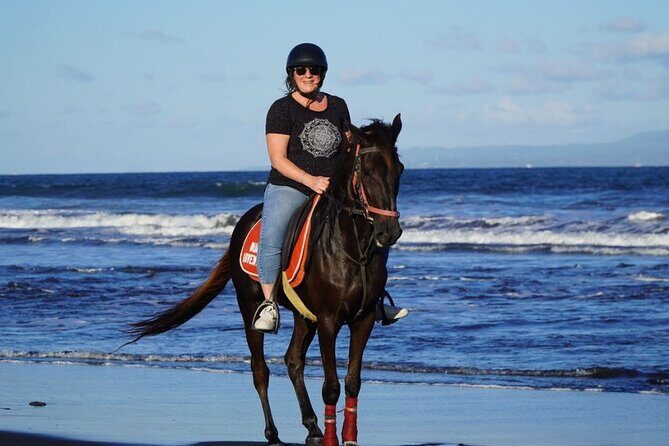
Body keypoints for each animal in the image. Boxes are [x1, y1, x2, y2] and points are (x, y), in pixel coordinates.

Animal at [127, 114, 404, 446]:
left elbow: (352, 382)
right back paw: (273, 434)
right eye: (368, 171)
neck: (352, 249)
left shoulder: (363, 319)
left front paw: (348, 438)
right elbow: (331, 386)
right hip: (250, 306)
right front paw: (332, 439)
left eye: (399, 170)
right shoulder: (328, 321)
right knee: (260, 370)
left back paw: (312, 426)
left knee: (293, 361)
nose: (390, 231)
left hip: (303, 316)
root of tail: (244, 222)